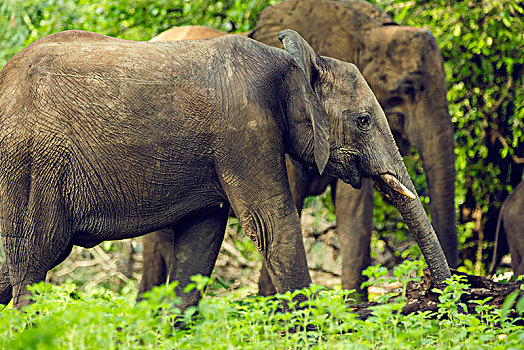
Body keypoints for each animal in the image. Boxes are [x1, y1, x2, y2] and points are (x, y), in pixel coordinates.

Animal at [0, 28, 450, 310]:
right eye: (363, 121)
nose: (443, 300)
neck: (292, 61)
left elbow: (200, 241)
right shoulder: (245, 130)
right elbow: (273, 225)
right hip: (28, 167)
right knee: (33, 263)